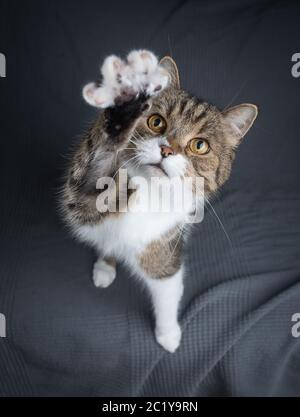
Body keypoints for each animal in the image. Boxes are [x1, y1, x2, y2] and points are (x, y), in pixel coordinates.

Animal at [61, 49, 258, 352]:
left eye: (199, 145)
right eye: (156, 121)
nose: (166, 149)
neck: (150, 191)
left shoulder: (165, 249)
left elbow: (167, 294)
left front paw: (168, 335)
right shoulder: (82, 197)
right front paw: (120, 121)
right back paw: (105, 266)